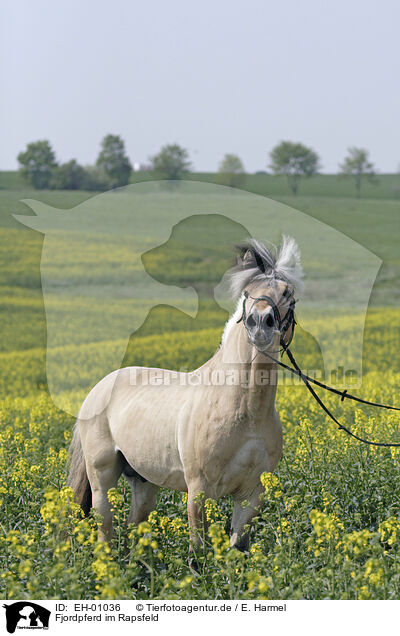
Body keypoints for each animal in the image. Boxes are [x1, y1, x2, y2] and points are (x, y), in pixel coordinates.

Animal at [67, 236, 304, 548]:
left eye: (287, 293)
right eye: (248, 293)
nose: (259, 323)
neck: (246, 410)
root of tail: (98, 389)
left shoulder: (251, 495)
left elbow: (236, 548)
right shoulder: (198, 490)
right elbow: (198, 550)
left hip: (143, 481)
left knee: (133, 529)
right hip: (101, 480)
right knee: (105, 530)